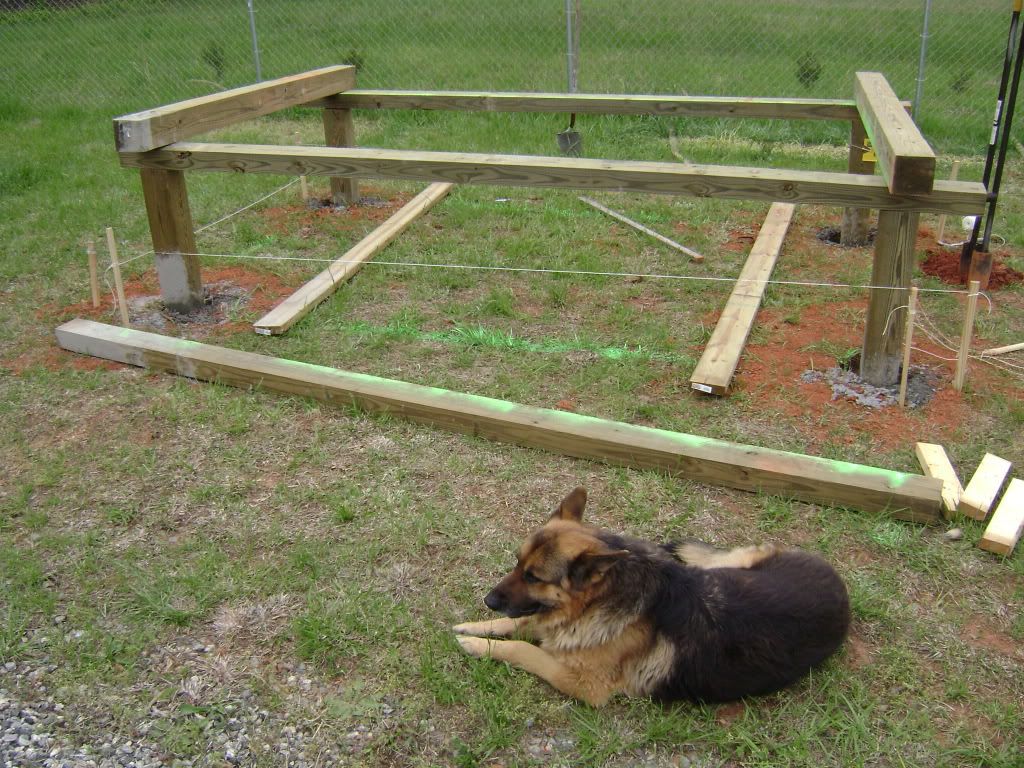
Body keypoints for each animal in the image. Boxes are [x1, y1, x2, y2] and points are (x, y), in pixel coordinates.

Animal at [454, 489, 847, 708]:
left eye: (534, 577)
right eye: (517, 563)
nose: (489, 600)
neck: (598, 601)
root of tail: (839, 584)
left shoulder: (583, 684)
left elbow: (526, 649)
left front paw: (478, 645)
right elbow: (522, 621)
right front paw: (476, 626)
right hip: (729, 567)